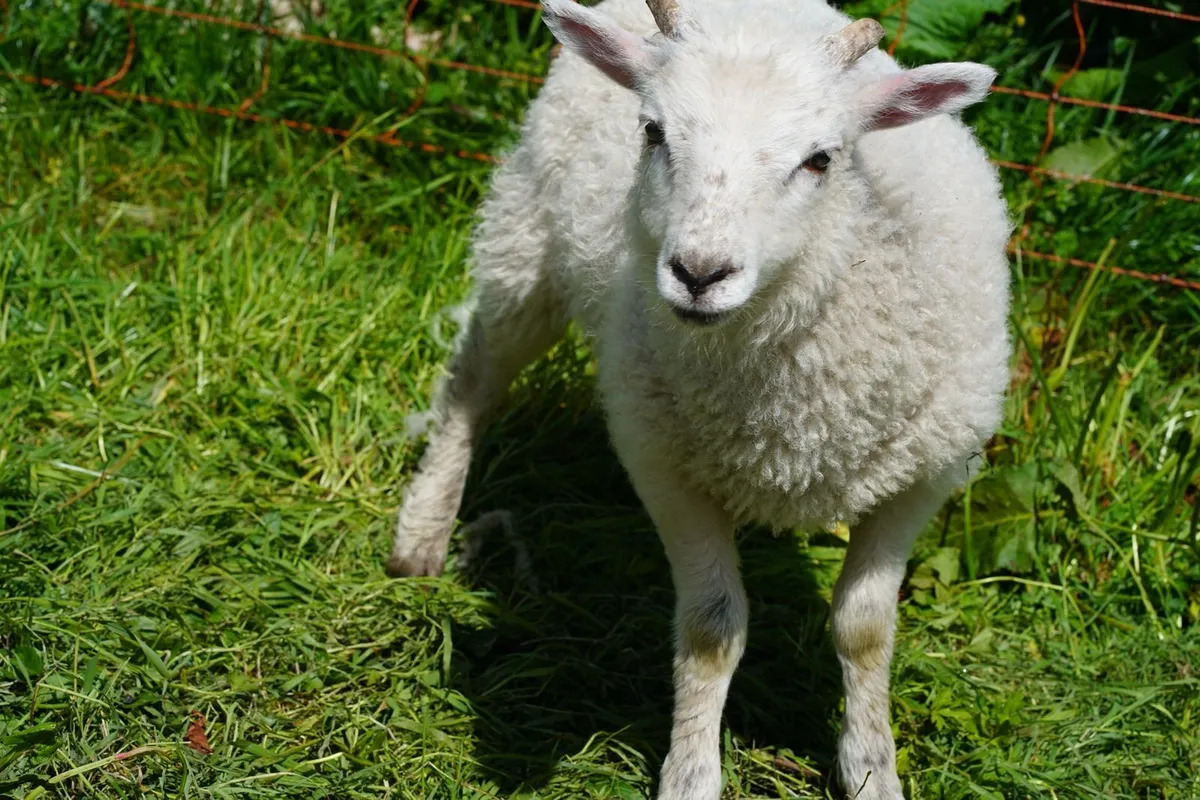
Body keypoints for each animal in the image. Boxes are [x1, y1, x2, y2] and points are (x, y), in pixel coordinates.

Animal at [386, 0, 1012, 798]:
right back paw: (422, 534)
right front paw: (692, 772)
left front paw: (872, 769)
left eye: (822, 159)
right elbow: (713, 629)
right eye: (654, 132)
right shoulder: (663, 459)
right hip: (527, 241)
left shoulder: (922, 475)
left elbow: (865, 629)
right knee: (474, 381)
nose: (699, 272)